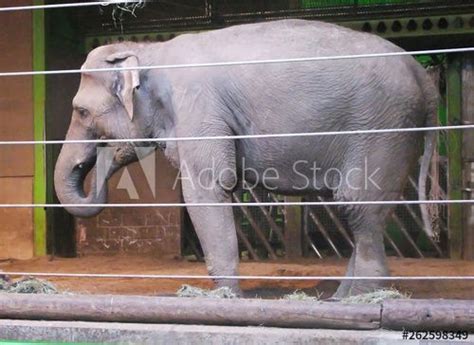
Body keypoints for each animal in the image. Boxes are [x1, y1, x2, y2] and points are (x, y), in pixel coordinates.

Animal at [54, 19, 436, 298]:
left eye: (81, 111)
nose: (108, 155)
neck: (149, 50)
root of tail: (421, 74)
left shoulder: (200, 109)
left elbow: (207, 189)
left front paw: (226, 299)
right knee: (362, 212)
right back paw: (339, 299)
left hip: (381, 128)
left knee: (358, 205)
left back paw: (355, 301)